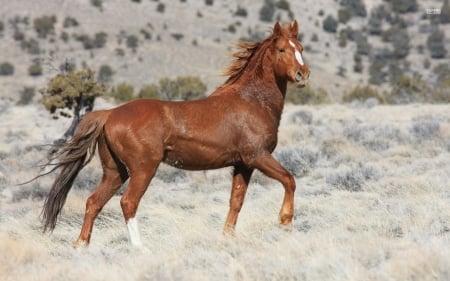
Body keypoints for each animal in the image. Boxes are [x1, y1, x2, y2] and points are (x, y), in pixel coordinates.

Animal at [42, 20, 310, 246]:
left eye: (300, 47)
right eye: (282, 50)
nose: (303, 75)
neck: (252, 101)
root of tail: (110, 113)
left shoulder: (243, 164)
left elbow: (236, 201)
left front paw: (227, 237)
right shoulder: (258, 156)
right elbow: (289, 179)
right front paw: (285, 221)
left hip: (115, 171)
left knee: (94, 202)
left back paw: (81, 246)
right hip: (143, 169)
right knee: (128, 202)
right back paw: (140, 249)